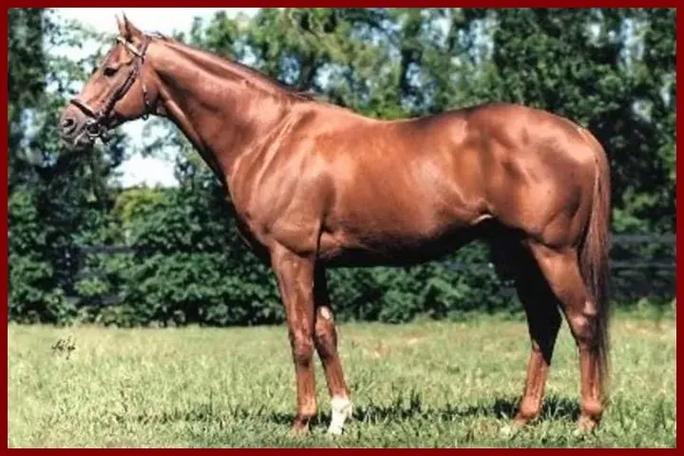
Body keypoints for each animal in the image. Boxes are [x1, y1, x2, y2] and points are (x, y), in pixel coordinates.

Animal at [60, 16, 611, 435]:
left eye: (110, 68)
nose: (69, 123)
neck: (267, 136)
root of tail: (578, 134)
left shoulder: (291, 257)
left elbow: (299, 335)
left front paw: (302, 422)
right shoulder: (317, 261)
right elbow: (326, 334)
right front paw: (338, 419)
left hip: (550, 251)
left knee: (581, 320)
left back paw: (586, 420)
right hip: (518, 255)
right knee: (543, 325)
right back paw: (521, 419)